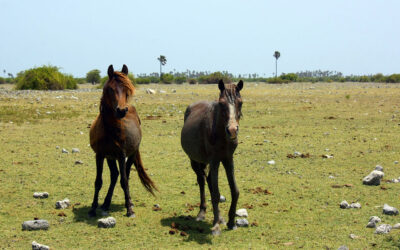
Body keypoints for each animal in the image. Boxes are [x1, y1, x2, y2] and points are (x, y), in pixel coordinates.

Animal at [88, 64, 156, 217]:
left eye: (127, 90)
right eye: (111, 89)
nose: (121, 110)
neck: (109, 130)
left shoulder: (121, 155)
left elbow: (124, 181)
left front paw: (129, 209)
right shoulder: (100, 155)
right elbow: (98, 181)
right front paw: (93, 208)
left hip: (130, 155)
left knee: (125, 175)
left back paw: (127, 202)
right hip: (110, 157)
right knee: (114, 175)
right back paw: (106, 203)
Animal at [181, 80, 244, 236]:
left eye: (240, 102)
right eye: (221, 103)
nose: (232, 130)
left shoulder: (228, 159)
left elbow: (234, 190)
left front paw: (231, 222)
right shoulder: (214, 160)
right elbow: (215, 193)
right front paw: (215, 226)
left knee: (208, 180)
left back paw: (220, 217)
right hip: (195, 161)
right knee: (202, 181)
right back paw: (202, 213)